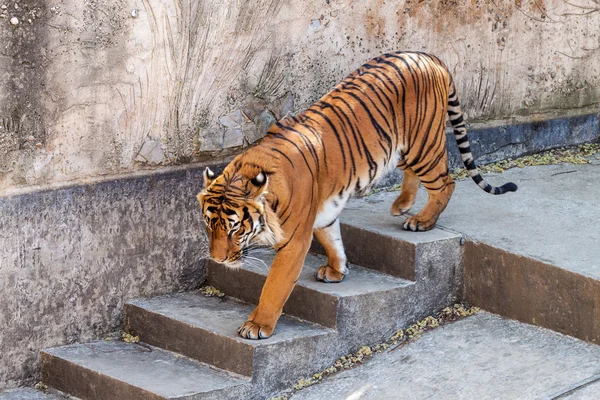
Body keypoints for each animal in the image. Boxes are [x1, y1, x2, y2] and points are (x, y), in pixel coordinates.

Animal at [198, 49, 516, 338]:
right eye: (209, 226)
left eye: (235, 229)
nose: (217, 260)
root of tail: (428, 56)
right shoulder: (323, 212)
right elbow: (332, 239)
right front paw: (337, 270)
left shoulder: (294, 241)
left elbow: (275, 285)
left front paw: (257, 325)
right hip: (398, 148)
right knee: (415, 176)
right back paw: (402, 205)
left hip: (423, 145)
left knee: (446, 183)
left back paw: (421, 221)